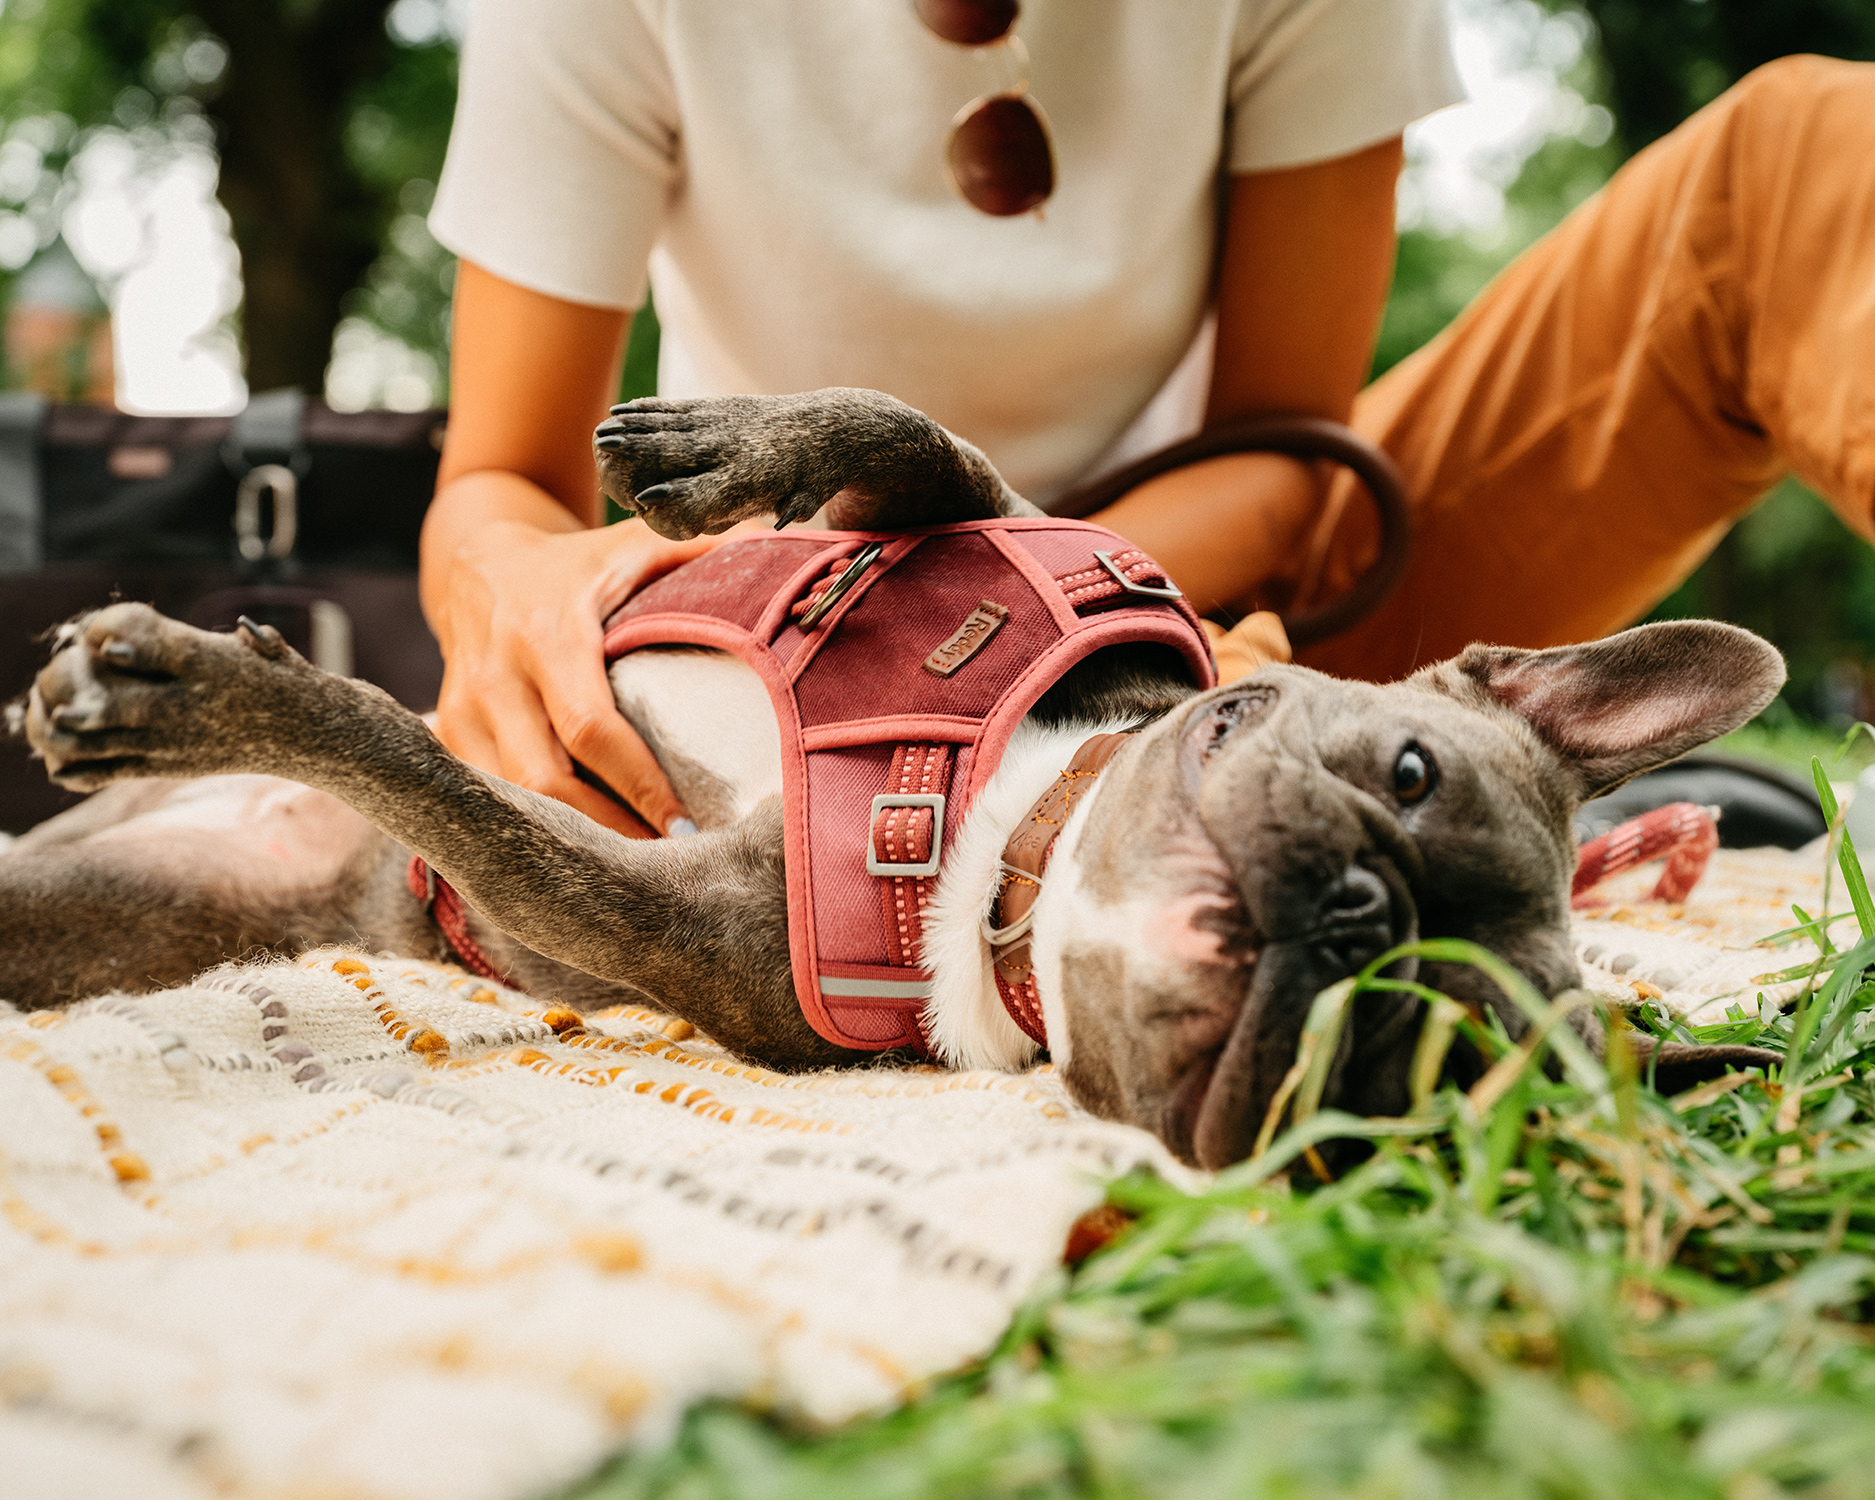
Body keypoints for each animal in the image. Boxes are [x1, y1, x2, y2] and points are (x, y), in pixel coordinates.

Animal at [3, 390, 1785, 1170]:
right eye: (1405, 770)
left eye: (1381, 1077)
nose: (1360, 921)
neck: (1004, 842)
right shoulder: (1017, 524)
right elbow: (910, 435)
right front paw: (711, 452)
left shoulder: (661, 925)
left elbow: (431, 771)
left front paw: (202, 689)